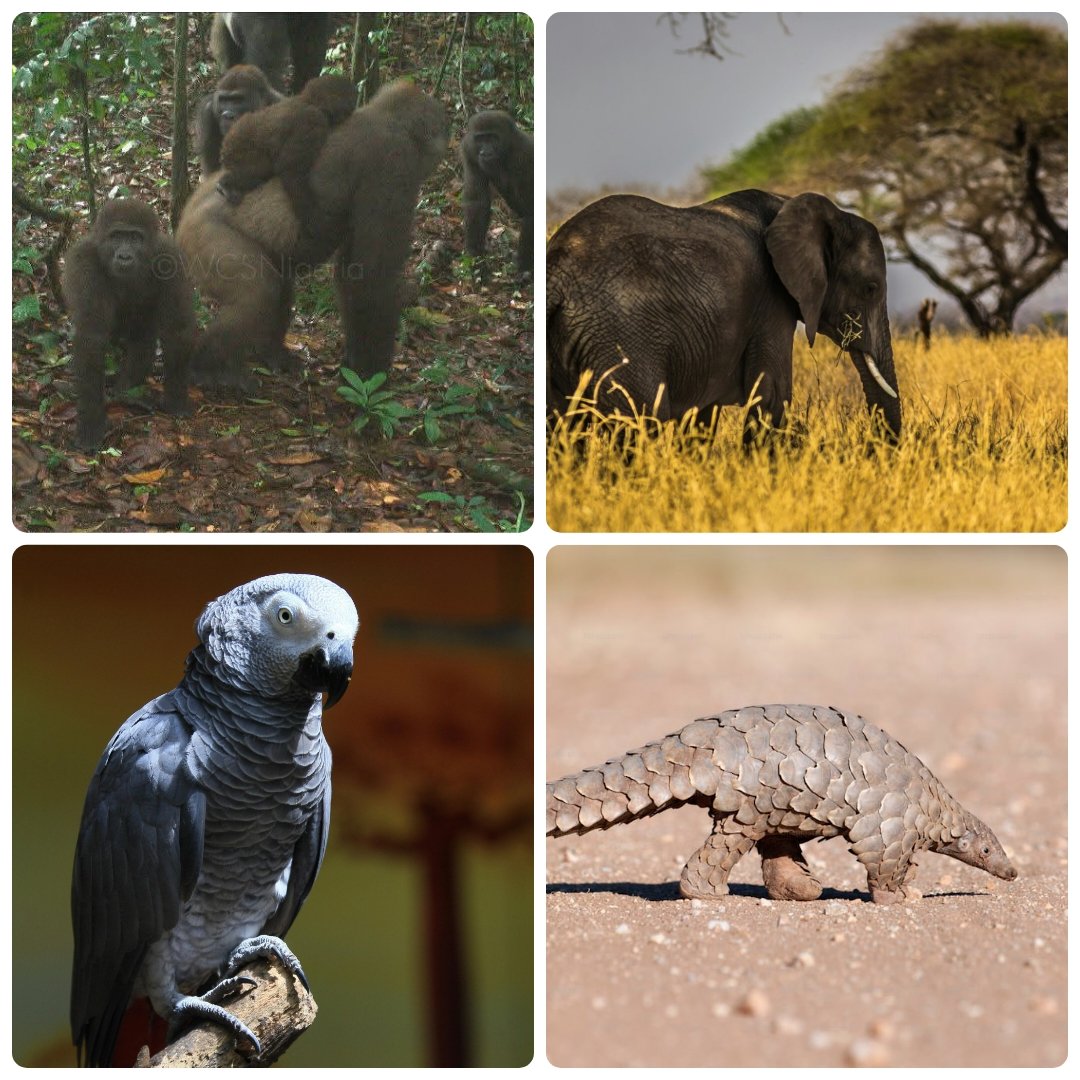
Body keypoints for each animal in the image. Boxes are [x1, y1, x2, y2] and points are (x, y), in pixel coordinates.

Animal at [61, 199, 195, 450]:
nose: (124, 256)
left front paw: (176, 398)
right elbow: (91, 339)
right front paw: (91, 421)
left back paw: (128, 393)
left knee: (144, 335)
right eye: (116, 236)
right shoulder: (85, 262)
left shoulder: (169, 256)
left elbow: (176, 328)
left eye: (135, 238)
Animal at [215, 74, 357, 233]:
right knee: (258, 169)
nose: (351, 110)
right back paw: (226, 184)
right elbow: (290, 171)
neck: (308, 100)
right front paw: (316, 221)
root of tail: (226, 142)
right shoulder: (312, 121)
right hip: (238, 151)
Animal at [461, 110, 534, 276]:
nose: (485, 152)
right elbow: (477, 203)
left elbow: (531, 211)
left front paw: (524, 268)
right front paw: (475, 258)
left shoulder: (526, 155)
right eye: (481, 139)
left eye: (492, 137)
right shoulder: (469, 149)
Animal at [546, 189, 901, 444]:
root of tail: (558, 271)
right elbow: (772, 397)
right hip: (621, 338)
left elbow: (701, 416)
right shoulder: (771, 302)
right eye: (871, 288)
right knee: (641, 423)